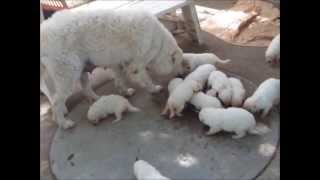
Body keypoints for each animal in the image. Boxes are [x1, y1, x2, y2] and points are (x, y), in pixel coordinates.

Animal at [41, 9, 184, 128]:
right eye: (180, 63)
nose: (182, 75)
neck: (158, 40)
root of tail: (44, 30)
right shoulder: (137, 64)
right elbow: (146, 79)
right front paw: (154, 89)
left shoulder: (118, 62)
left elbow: (120, 79)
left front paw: (125, 91)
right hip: (68, 75)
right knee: (56, 102)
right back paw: (64, 123)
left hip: (81, 70)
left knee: (86, 88)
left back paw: (97, 98)